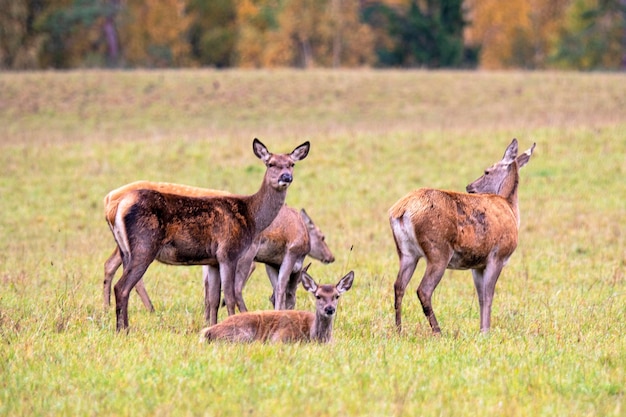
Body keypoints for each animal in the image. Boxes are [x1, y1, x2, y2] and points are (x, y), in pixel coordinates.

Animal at [110, 138, 312, 330]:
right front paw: (231, 324)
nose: (286, 177)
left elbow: (214, 299)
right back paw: (123, 330)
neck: (250, 216)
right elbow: (229, 296)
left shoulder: (213, 260)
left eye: (291, 164)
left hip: (125, 250)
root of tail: (119, 206)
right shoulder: (228, 252)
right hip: (144, 246)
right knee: (122, 287)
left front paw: (212, 326)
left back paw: (123, 328)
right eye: (270, 163)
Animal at [201, 264, 354, 342]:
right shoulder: (280, 337)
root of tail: (208, 331)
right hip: (243, 333)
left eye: (336, 296)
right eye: (318, 296)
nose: (329, 309)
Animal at [388, 138, 532, 334]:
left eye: (487, 171)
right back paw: (438, 331)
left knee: (399, 286)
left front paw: (482, 330)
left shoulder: (477, 265)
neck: (510, 208)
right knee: (423, 289)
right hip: (438, 251)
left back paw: (399, 330)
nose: (470, 187)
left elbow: (481, 297)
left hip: (406, 252)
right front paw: (486, 332)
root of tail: (401, 210)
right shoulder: (497, 255)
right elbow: (489, 296)